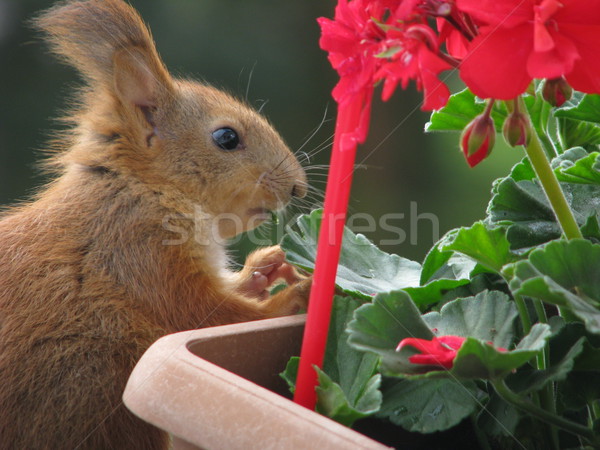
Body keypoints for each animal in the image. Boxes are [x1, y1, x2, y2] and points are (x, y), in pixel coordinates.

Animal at [0, 1, 310, 448]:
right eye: (227, 138)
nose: (297, 187)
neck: (144, 188)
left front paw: (264, 269)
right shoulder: (139, 253)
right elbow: (207, 316)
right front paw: (292, 299)